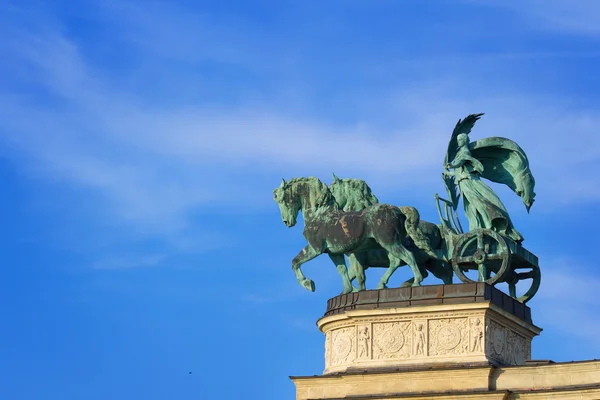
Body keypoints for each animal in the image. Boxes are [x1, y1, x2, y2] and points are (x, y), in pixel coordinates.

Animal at [274, 177, 424, 294]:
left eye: (282, 199)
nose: (287, 221)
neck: (318, 214)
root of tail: (399, 210)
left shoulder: (315, 249)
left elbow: (295, 261)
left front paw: (308, 283)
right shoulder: (334, 252)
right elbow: (342, 270)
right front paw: (347, 290)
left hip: (389, 243)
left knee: (408, 256)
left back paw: (417, 282)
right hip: (388, 244)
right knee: (395, 261)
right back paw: (382, 284)